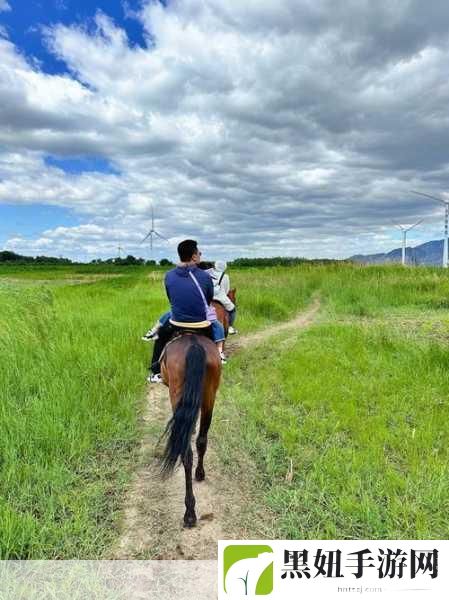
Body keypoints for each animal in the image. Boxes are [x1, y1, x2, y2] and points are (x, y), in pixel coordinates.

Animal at [158, 330, 221, 528]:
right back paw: (200, 474)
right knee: (202, 441)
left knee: (187, 454)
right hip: (209, 397)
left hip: (177, 394)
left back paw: (190, 513)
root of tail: (194, 343)